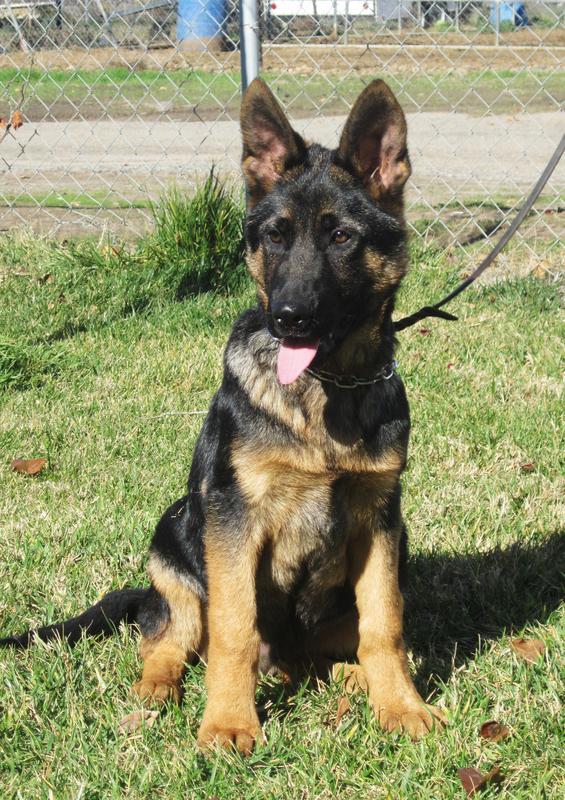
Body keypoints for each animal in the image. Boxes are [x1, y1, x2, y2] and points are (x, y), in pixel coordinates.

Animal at [1, 78, 445, 753]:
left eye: (342, 237)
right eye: (276, 237)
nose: (288, 317)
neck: (327, 391)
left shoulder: (380, 519)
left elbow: (384, 626)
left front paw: (399, 705)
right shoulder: (235, 520)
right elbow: (234, 632)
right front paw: (230, 723)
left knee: (327, 654)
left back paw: (348, 678)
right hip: (178, 537)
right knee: (171, 640)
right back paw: (157, 690)